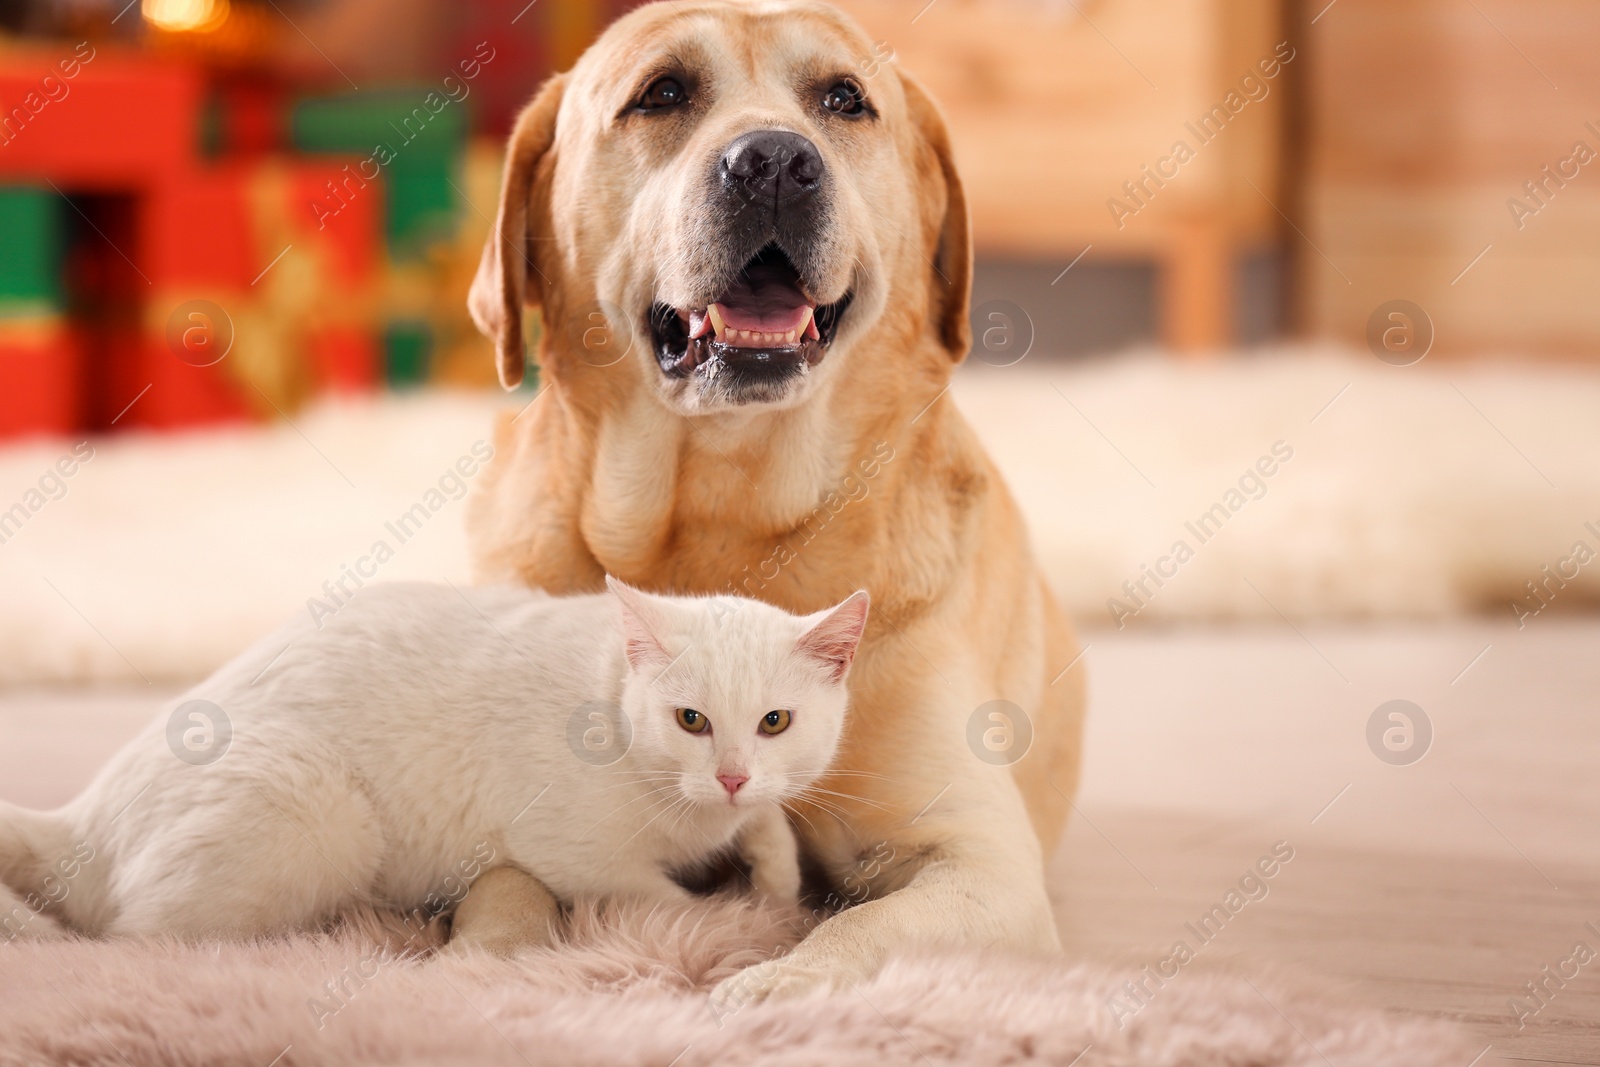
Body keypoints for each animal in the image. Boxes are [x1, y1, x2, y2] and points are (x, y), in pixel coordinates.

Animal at [0, 579, 864, 947]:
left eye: (775, 721)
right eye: (691, 720)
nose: (730, 774)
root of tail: (81, 816)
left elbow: (773, 826)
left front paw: (773, 871)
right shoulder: (575, 855)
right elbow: (666, 899)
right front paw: (757, 914)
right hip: (320, 815)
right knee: (132, 940)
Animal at [457, 0, 1094, 1004]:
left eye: (844, 100)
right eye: (662, 93)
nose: (773, 162)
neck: (731, 513)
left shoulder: (983, 863)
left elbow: (866, 922)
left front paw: (777, 981)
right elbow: (503, 874)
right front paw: (482, 954)